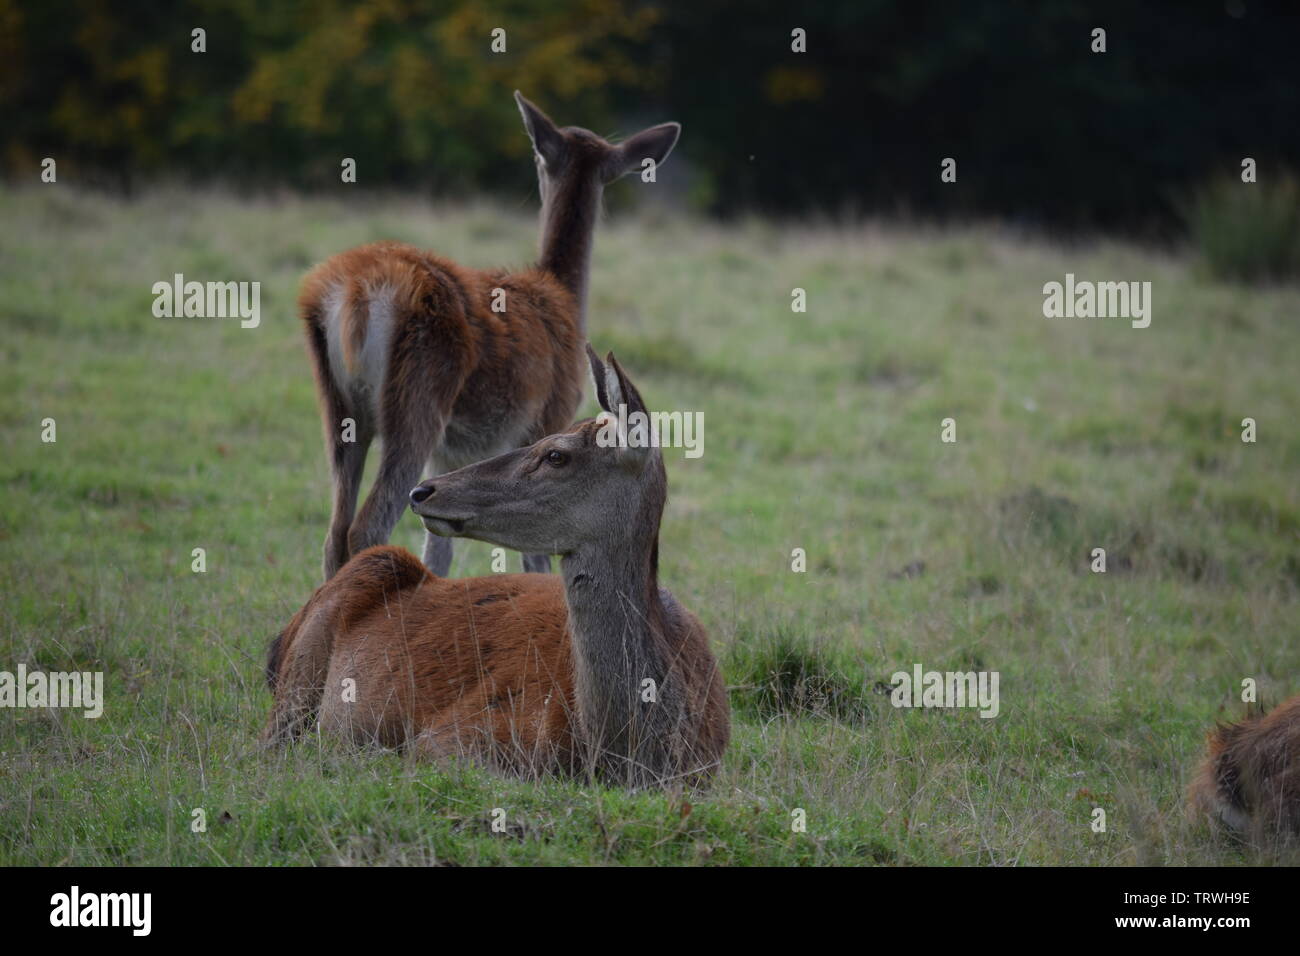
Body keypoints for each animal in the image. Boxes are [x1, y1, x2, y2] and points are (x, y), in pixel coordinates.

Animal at [296, 93, 681, 580]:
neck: (564, 294)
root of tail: (353, 294)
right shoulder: (548, 418)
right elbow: (534, 556)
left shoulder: (451, 454)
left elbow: (438, 552)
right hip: (418, 398)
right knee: (366, 526)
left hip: (337, 404)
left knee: (333, 531)